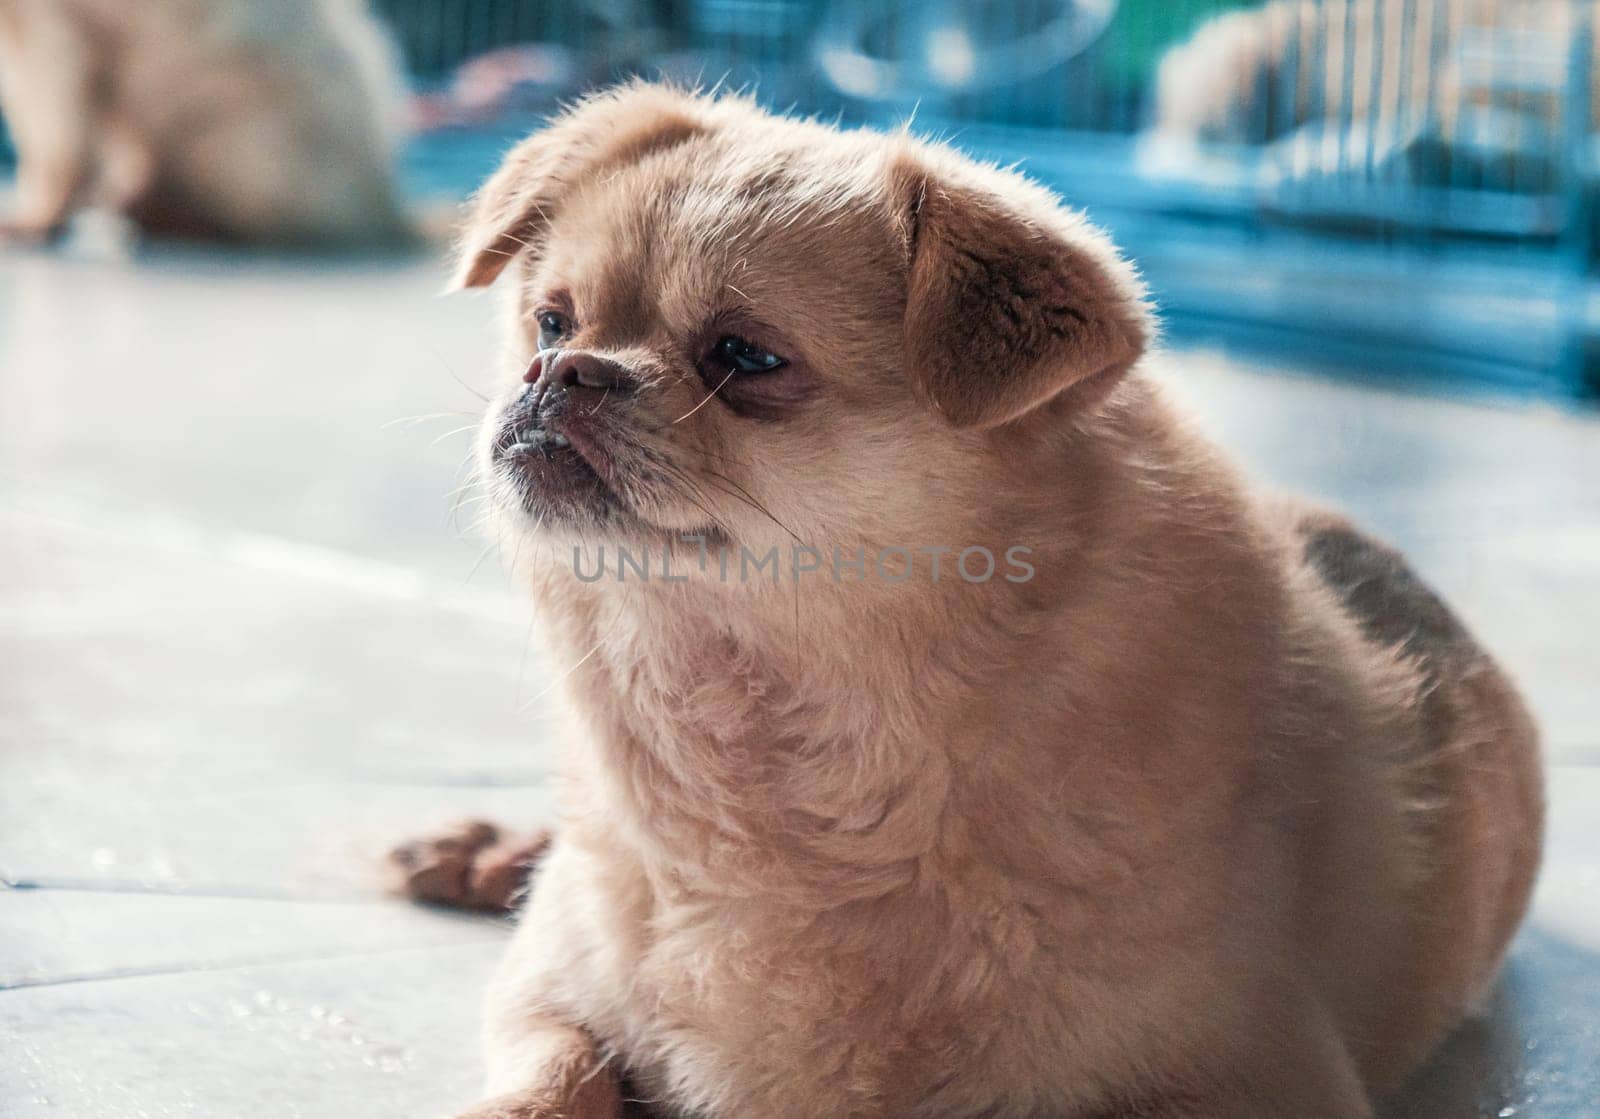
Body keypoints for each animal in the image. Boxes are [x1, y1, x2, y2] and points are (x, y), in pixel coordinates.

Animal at [406, 83, 1542, 1114]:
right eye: (550, 320)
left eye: (747, 357)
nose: (561, 369)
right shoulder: (552, 995)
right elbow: (551, 1075)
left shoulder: (1257, 1079)